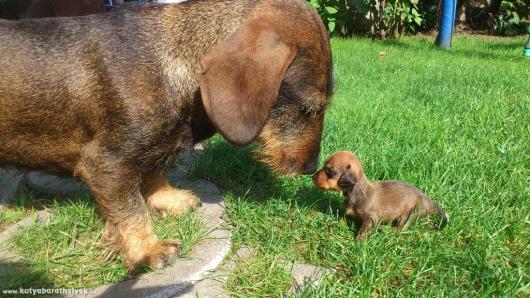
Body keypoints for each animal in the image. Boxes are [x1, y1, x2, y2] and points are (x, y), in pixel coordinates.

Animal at [0, 0, 330, 270]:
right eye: (307, 108)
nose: (311, 168)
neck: (172, 59)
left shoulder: (156, 147)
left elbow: (153, 172)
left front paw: (167, 198)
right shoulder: (106, 163)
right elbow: (130, 209)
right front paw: (147, 249)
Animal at [312, 151, 448, 240]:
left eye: (329, 170)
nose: (312, 176)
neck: (356, 193)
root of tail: (428, 200)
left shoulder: (371, 218)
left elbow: (363, 230)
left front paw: (358, 241)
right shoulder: (348, 214)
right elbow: (341, 219)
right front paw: (332, 225)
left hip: (412, 212)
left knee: (401, 228)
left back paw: (385, 229)